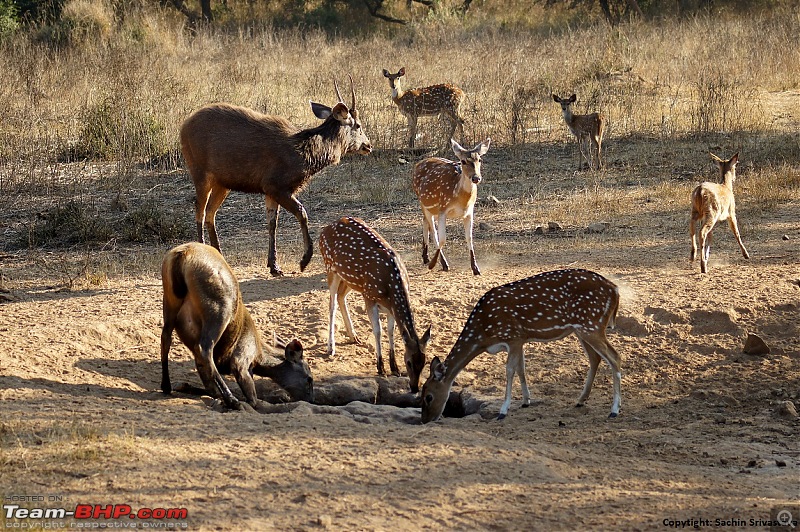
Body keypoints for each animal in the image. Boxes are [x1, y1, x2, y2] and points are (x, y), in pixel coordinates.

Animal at [161, 242, 314, 412]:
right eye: (309, 379)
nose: (312, 400)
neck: (259, 357)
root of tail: (182, 255)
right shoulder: (242, 357)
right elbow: (253, 400)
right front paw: (278, 398)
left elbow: (209, 388)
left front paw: (184, 386)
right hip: (219, 309)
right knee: (203, 348)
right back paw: (231, 400)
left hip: (170, 301)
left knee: (166, 338)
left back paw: (166, 386)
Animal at [181, 80, 372, 278]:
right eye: (358, 125)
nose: (368, 145)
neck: (305, 156)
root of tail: (183, 126)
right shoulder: (275, 185)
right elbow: (302, 212)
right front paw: (304, 260)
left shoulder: (270, 190)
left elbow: (272, 223)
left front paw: (274, 266)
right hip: (199, 170)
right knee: (200, 209)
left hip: (223, 182)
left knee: (211, 211)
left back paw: (218, 254)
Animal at [318, 217, 432, 394]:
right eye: (409, 362)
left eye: (425, 362)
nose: (414, 388)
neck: (391, 285)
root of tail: (323, 231)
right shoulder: (369, 297)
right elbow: (378, 331)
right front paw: (381, 368)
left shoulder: (390, 307)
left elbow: (391, 331)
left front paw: (394, 368)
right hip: (331, 268)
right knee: (332, 304)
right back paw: (331, 348)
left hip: (351, 280)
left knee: (341, 296)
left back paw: (354, 337)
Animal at [412, 137, 494, 276]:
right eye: (463, 161)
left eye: (480, 159)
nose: (476, 178)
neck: (461, 198)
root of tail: (418, 164)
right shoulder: (443, 209)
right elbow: (442, 239)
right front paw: (435, 264)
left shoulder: (469, 212)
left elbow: (469, 238)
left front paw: (475, 268)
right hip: (423, 202)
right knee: (433, 230)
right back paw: (439, 263)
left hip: (429, 207)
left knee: (425, 221)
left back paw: (425, 257)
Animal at [422, 270, 620, 424]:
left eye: (428, 397)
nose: (425, 420)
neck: (483, 335)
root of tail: (615, 290)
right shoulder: (521, 339)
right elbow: (521, 368)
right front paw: (526, 401)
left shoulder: (513, 337)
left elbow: (510, 370)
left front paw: (503, 411)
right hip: (582, 329)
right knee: (595, 358)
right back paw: (580, 400)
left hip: (591, 325)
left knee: (615, 357)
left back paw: (614, 410)